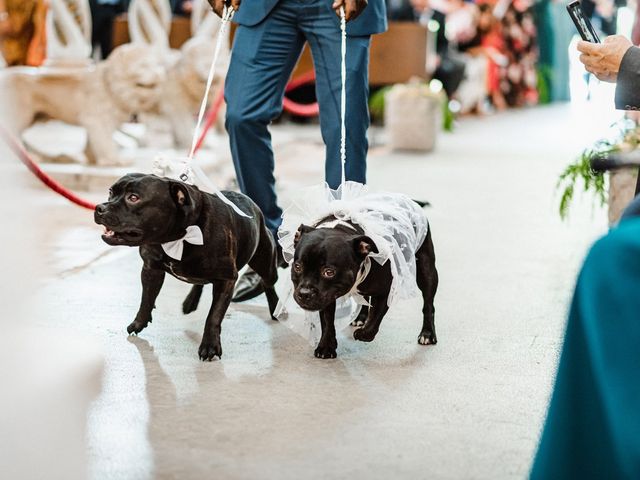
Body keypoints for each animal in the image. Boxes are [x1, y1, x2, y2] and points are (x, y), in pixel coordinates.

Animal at [94, 175, 278, 360]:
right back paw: (190, 302)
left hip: (265, 263)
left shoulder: (226, 280)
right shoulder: (151, 269)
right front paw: (139, 323)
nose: (99, 208)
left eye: (133, 198)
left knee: (268, 282)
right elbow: (146, 299)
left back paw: (275, 306)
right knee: (200, 282)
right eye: (111, 192)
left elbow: (214, 315)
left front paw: (210, 346)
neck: (178, 237)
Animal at [292, 216, 438, 358]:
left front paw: (363, 334)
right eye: (297, 267)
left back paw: (427, 334)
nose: (304, 293)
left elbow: (375, 319)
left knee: (428, 304)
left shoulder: (385, 292)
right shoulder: (327, 297)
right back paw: (360, 318)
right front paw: (326, 347)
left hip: (426, 270)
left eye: (329, 272)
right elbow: (327, 321)